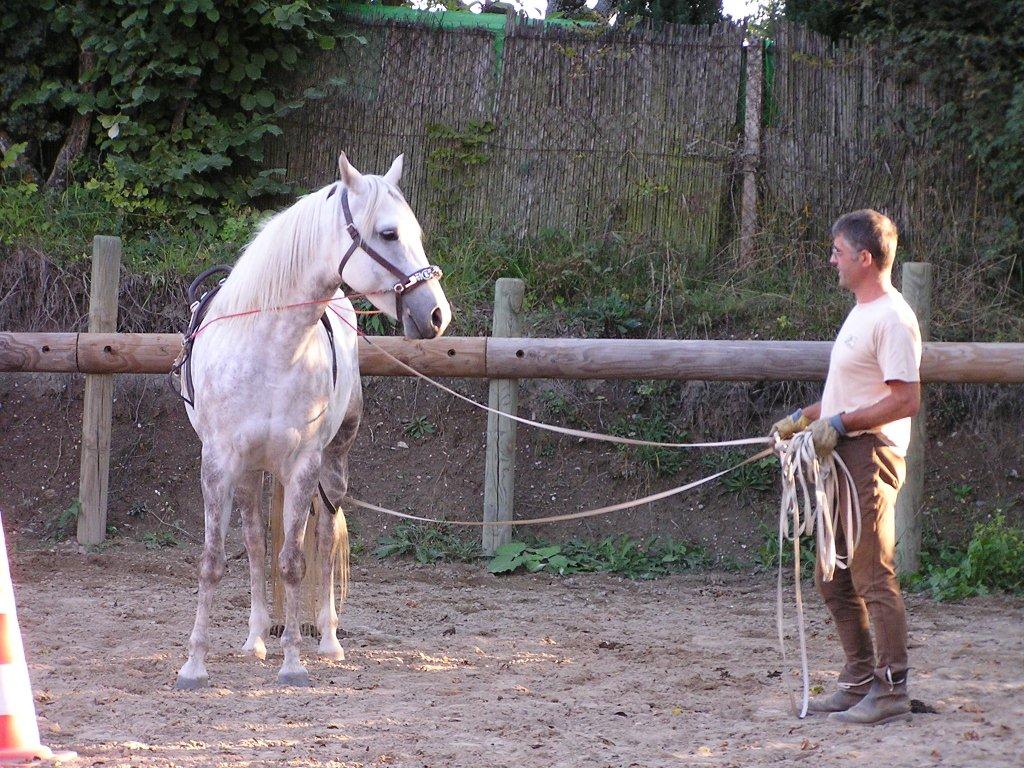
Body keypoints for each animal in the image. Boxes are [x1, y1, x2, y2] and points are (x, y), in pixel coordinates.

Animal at [176, 153, 452, 688]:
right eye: (389, 233)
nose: (435, 315)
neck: (268, 346)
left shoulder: (304, 463)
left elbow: (293, 563)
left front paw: (294, 663)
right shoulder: (218, 462)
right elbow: (215, 560)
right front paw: (195, 665)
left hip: (333, 461)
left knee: (323, 537)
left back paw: (327, 639)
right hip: (250, 473)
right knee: (254, 542)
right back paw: (255, 639)